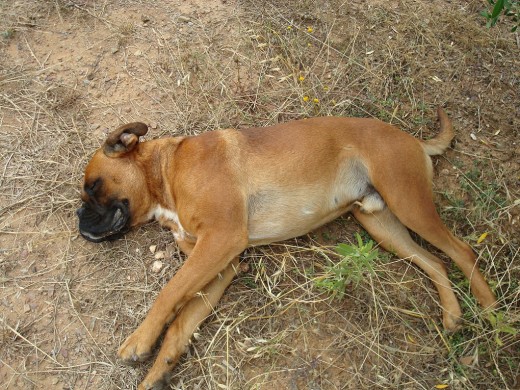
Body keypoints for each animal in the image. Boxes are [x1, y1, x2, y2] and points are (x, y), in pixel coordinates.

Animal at [77, 108, 496, 388]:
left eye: (93, 187)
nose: (80, 220)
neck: (165, 171)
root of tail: (410, 138)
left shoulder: (220, 241)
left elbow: (168, 295)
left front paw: (138, 341)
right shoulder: (221, 264)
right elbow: (182, 321)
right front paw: (159, 369)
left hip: (408, 202)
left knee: (461, 251)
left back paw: (491, 311)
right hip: (382, 224)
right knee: (435, 262)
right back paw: (453, 315)